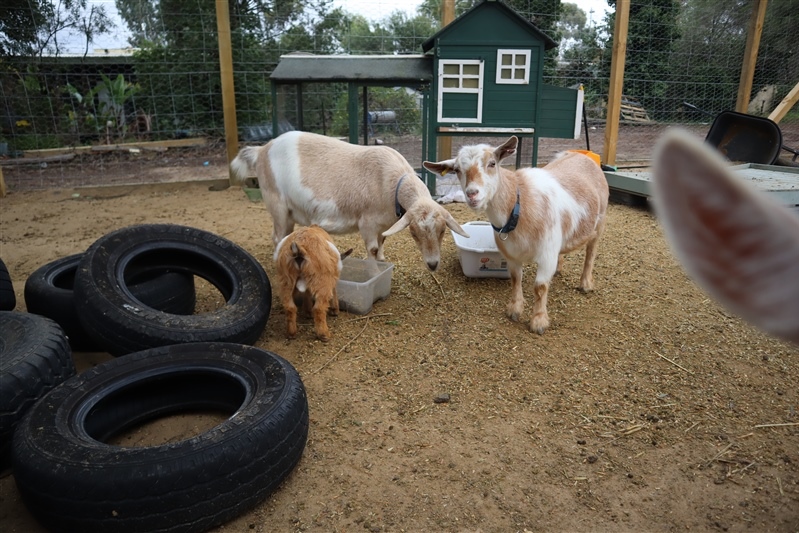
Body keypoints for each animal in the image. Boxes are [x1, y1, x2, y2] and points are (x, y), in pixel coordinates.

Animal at [230, 129, 468, 270]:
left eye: (442, 231)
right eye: (414, 233)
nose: (433, 264)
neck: (390, 183)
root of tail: (262, 150)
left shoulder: (383, 225)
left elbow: (382, 244)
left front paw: (382, 262)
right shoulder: (367, 223)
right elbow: (372, 249)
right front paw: (373, 269)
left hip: (288, 212)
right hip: (276, 203)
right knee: (277, 236)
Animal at [424, 135, 608, 330]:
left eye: (492, 163)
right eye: (457, 170)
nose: (472, 194)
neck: (519, 204)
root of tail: (581, 155)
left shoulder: (547, 253)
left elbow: (540, 287)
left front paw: (539, 321)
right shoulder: (511, 254)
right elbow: (515, 278)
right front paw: (514, 309)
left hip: (600, 220)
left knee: (591, 252)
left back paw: (586, 284)